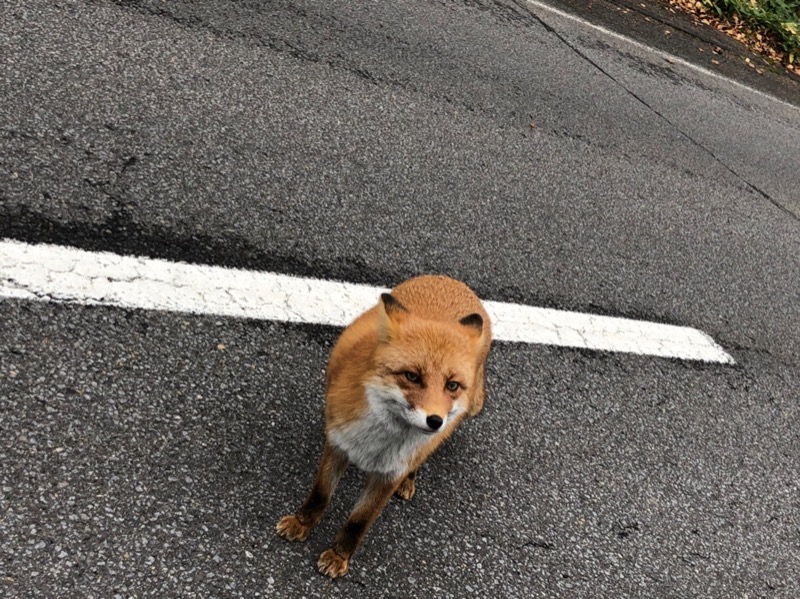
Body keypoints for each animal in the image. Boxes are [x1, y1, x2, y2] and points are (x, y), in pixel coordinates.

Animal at [276, 276, 490, 576]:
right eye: (412, 376)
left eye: (452, 385)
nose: (435, 421)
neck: (378, 444)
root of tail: (454, 281)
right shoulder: (338, 444)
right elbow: (320, 494)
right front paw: (302, 523)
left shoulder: (390, 474)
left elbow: (359, 521)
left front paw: (339, 555)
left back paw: (410, 480)